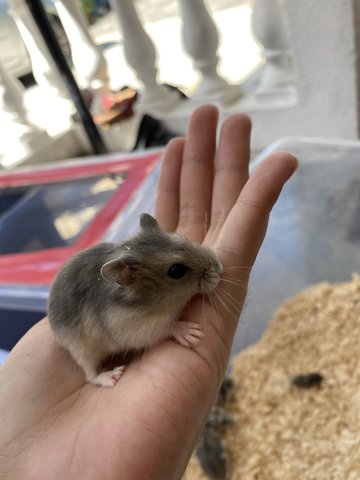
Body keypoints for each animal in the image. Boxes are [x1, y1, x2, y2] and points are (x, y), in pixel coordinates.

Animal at [47, 214, 222, 386]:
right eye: (177, 271)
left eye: (183, 239)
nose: (219, 268)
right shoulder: (133, 328)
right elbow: (167, 326)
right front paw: (193, 334)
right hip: (81, 350)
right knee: (90, 375)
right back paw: (114, 376)